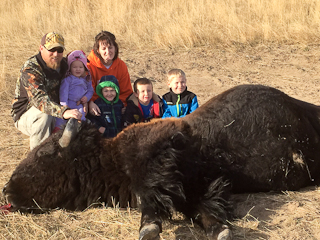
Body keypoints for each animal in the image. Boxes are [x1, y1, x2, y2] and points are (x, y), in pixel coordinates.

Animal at [3, 84, 320, 240]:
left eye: (44, 154)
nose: (6, 191)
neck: (112, 155)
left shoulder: (155, 164)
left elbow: (151, 199)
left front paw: (149, 229)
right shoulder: (199, 187)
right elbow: (203, 209)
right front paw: (221, 229)